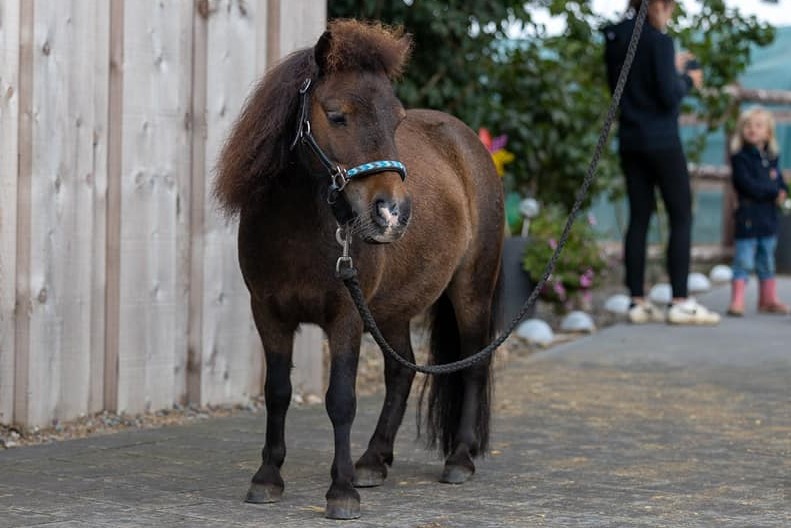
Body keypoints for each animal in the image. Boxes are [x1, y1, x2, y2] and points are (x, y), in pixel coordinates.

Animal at [213, 19, 504, 520]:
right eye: (336, 115)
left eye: (396, 119)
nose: (392, 213)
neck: (296, 227)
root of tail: (469, 143)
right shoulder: (268, 313)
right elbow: (278, 391)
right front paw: (267, 478)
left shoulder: (345, 317)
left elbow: (341, 400)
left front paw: (341, 490)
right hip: (391, 310)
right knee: (401, 372)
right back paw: (374, 460)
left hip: (471, 292)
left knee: (472, 365)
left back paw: (459, 459)